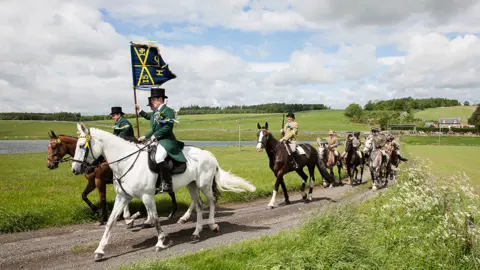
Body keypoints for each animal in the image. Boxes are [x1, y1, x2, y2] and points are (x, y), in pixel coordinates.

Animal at [46, 130, 178, 224]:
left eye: (53, 147)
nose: (49, 165)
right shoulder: (92, 182)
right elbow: (84, 195)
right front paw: (96, 210)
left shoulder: (99, 181)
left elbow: (102, 199)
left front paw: (102, 217)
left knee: (168, 192)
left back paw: (171, 212)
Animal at [70, 124, 255, 262]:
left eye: (81, 146)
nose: (75, 169)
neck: (127, 162)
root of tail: (208, 153)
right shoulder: (122, 197)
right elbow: (110, 222)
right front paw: (100, 250)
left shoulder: (147, 196)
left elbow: (155, 219)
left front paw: (160, 242)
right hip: (192, 186)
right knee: (199, 205)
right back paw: (196, 232)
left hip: (204, 185)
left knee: (211, 202)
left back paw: (212, 224)